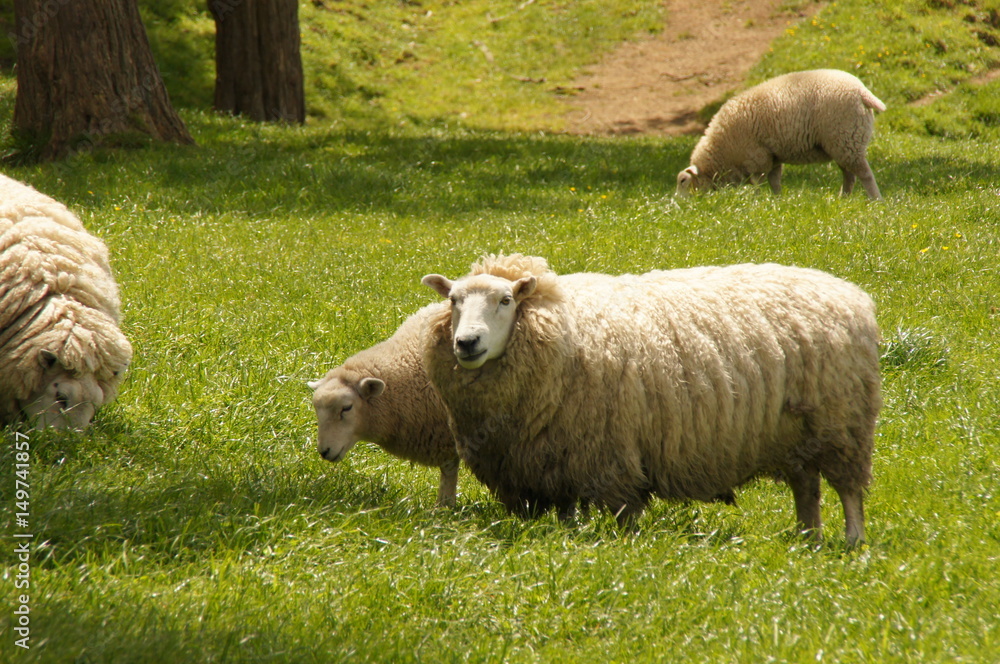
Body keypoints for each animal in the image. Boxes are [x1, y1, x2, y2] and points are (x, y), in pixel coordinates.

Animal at [309, 302, 460, 507]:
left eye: (347, 408)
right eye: (317, 410)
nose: (324, 451)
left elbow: (450, 469)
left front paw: (445, 506)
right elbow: (448, 470)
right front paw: (445, 506)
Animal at [421, 254, 881, 546]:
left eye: (505, 300)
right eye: (453, 300)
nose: (467, 343)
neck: (561, 330)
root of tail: (850, 293)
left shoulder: (611, 453)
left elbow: (626, 513)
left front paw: (631, 548)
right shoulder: (552, 458)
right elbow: (567, 512)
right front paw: (567, 539)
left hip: (844, 423)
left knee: (848, 490)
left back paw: (852, 541)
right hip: (798, 434)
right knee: (807, 488)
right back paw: (809, 538)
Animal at [676, 69, 886, 200]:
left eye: (683, 181)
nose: (678, 205)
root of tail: (862, 91)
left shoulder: (756, 156)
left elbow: (758, 183)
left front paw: (757, 202)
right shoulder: (772, 156)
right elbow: (775, 181)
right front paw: (778, 200)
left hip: (847, 138)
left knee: (865, 174)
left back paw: (876, 200)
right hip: (840, 144)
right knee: (849, 175)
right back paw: (843, 198)